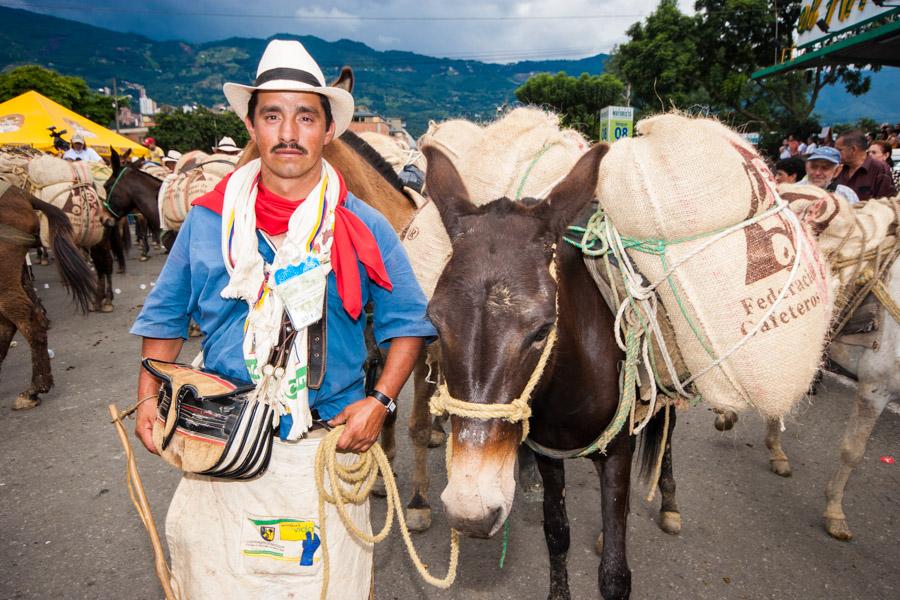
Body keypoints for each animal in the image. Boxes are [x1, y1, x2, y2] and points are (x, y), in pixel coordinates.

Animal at [422, 146, 676, 600]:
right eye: (434, 321)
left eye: (542, 330)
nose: (470, 512)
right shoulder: (548, 452)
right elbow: (557, 533)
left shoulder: (618, 450)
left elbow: (615, 574)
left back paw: (669, 503)